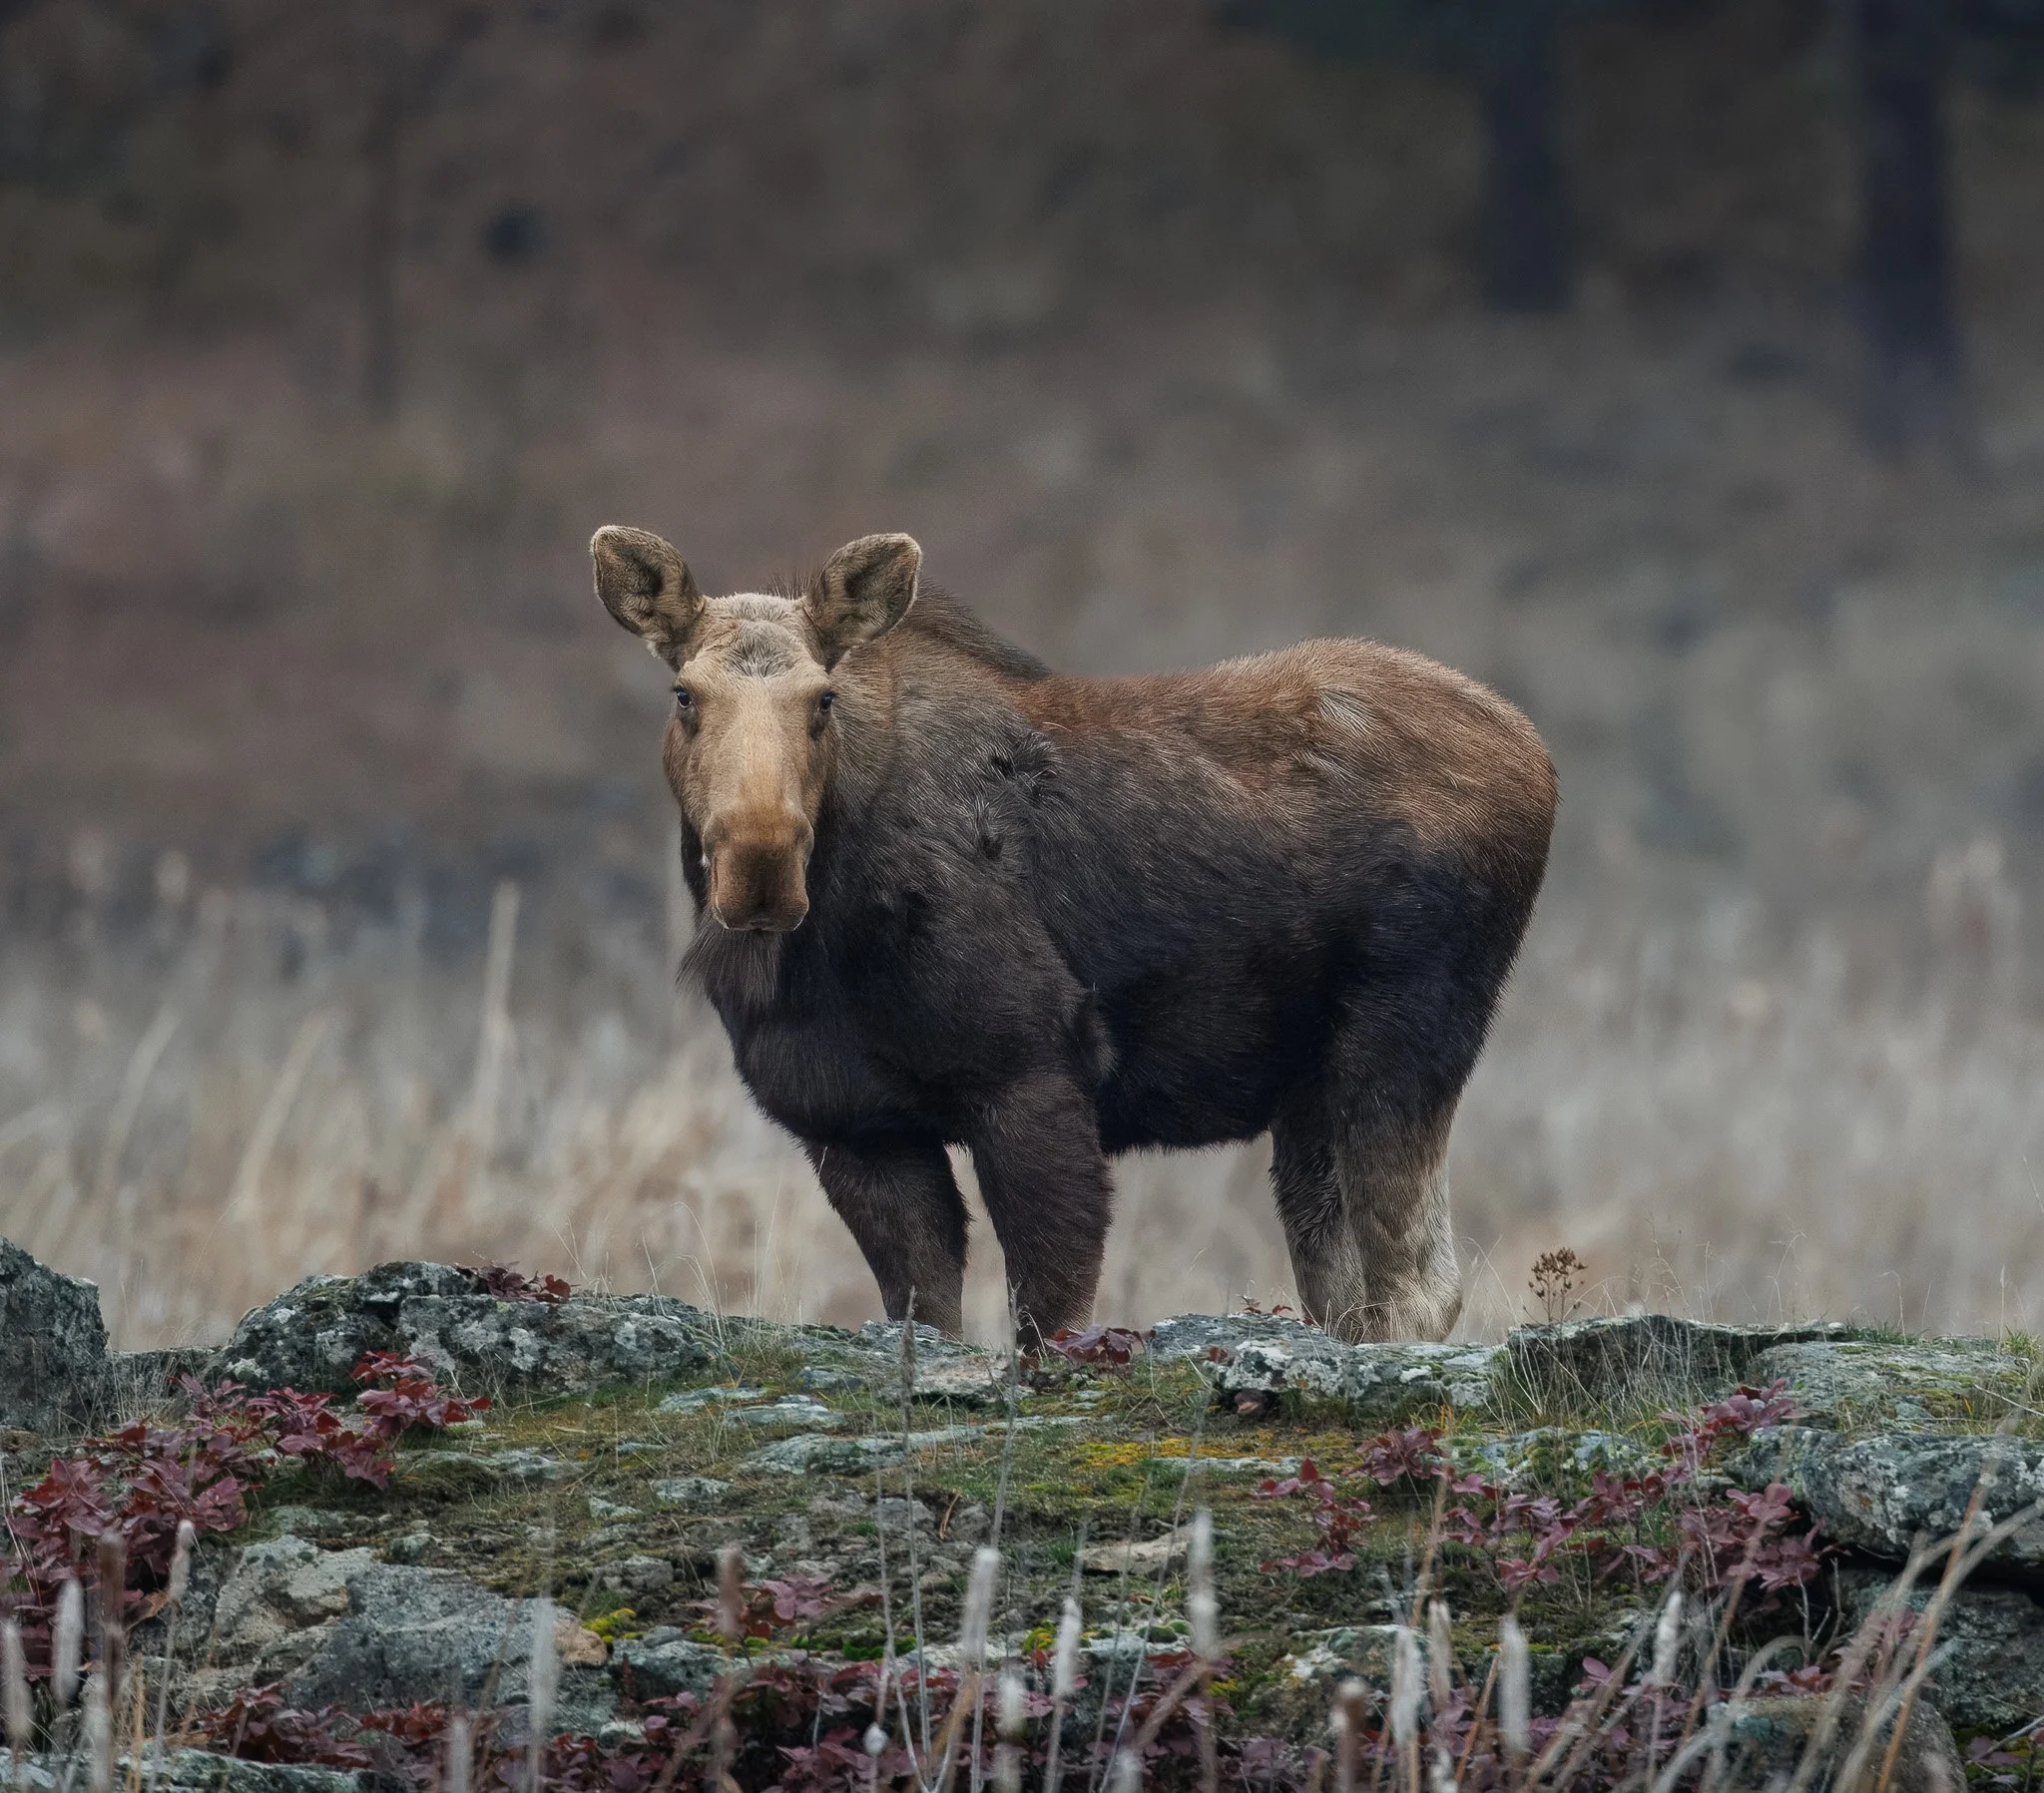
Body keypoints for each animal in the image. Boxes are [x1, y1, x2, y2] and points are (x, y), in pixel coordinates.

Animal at [592, 525, 1556, 1343]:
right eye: (685, 694)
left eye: (821, 697)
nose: (758, 861)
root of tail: (1539, 757)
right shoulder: (856, 1128)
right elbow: (931, 1317)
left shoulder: (1032, 1078)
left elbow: (1047, 1324)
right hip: (1312, 1086)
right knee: (1347, 1292)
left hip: (1405, 1036)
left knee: (1420, 1290)